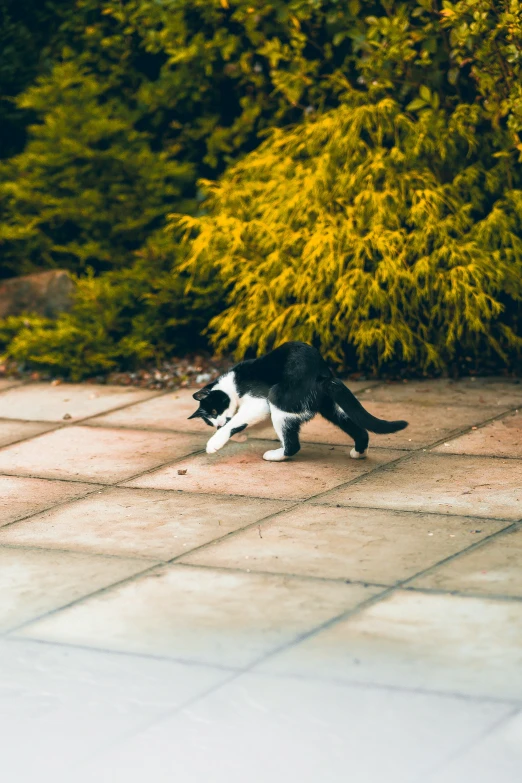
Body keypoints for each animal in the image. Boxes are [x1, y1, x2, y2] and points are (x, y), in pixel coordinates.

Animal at [187, 342, 406, 462]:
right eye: (209, 420)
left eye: (214, 410)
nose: (216, 424)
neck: (232, 384)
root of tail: (322, 375)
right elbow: (239, 422)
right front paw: (238, 436)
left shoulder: (258, 402)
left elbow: (235, 421)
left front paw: (215, 442)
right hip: (328, 405)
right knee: (358, 428)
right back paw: (359, 452)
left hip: (278, 396)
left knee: (293, 445)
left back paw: (275, 456)